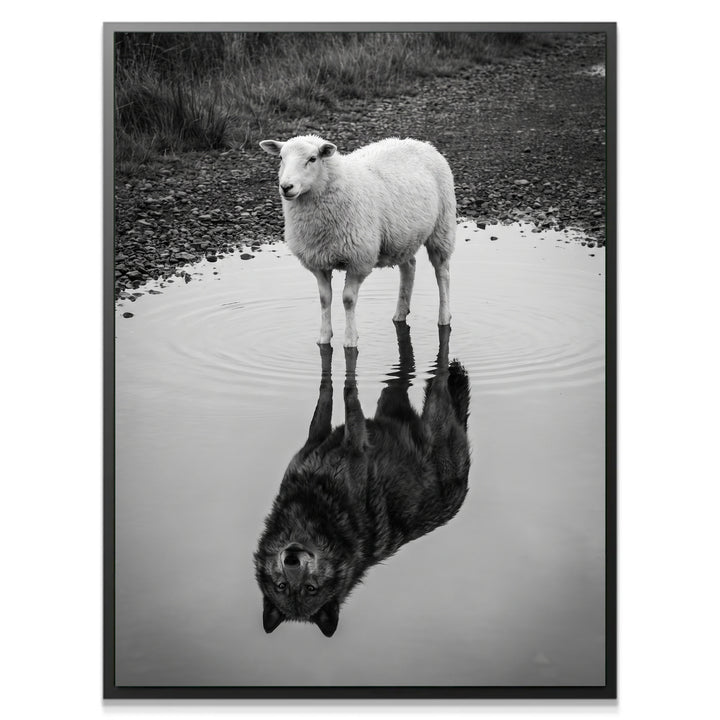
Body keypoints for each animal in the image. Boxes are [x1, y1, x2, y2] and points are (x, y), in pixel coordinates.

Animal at [254, 323, 470, 637]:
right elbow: (327, 392)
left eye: (310, 588)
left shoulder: (354, 440)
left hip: (434, 400)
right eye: (282, 586)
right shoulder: (317, 438)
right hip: (389, 397)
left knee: (440, 366)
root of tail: (464, 489)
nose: (292, 558)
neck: (313, 506)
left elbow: (347, 394)